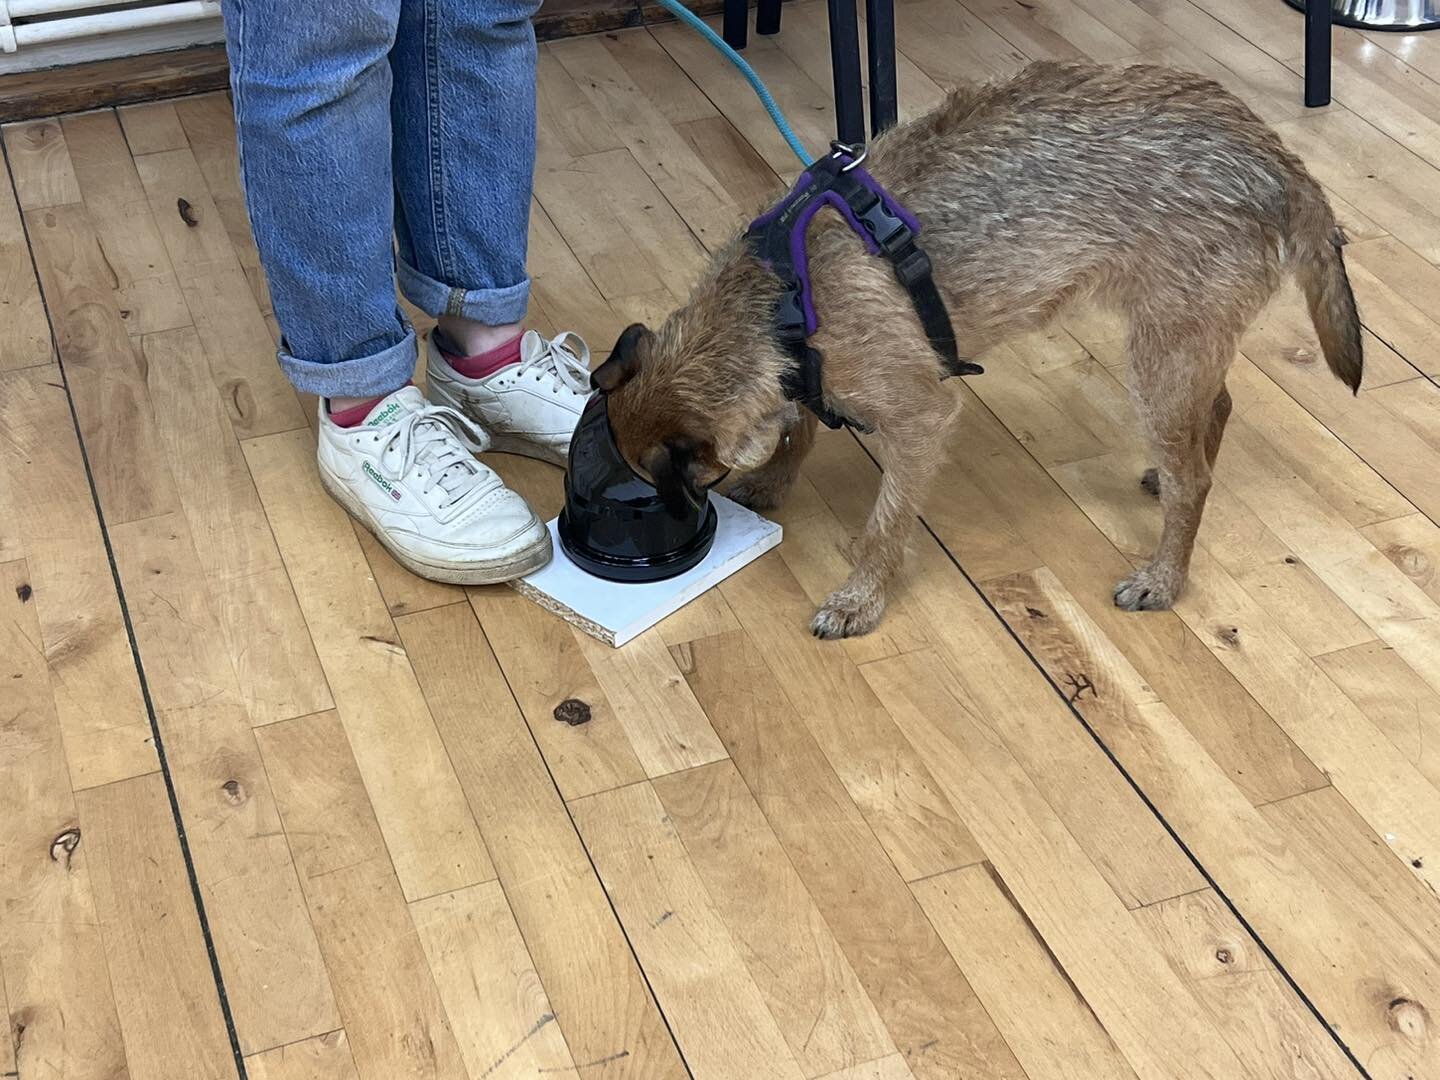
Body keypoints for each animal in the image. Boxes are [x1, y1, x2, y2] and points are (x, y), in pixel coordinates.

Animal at [590, 63, 1365, 639]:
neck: (776, 299)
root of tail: (1280, 161)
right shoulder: (804, 371)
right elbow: (799, 424)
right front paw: (778, 479)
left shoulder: (919, 418)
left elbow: (885, 523)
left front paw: (860, 598)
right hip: (1179, 344)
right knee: (1216, 411)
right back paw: (1165, 476)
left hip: (1162, 355)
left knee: (1195, 481)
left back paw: (1163, 578)